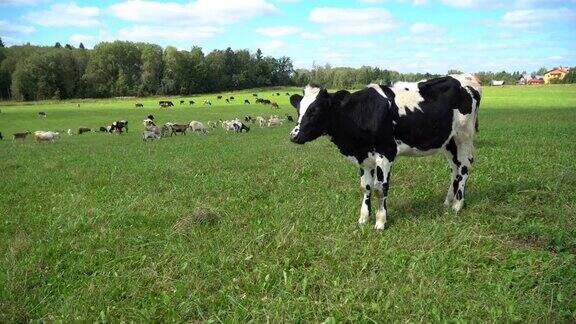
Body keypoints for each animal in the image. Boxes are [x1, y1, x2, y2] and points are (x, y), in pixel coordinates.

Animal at [288, 74, 482, 229]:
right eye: (298, 110)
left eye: (315, 111)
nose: (293, 136)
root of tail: (466, 77)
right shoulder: (363, 156)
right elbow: (365, 187)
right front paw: (363, 219)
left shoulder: (386, 152)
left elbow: (380, 188)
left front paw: (381, 222)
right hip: (449, 141)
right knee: (455, 169)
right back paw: (448, 201)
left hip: (464, 136)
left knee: (464, 167)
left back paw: (458, 204)